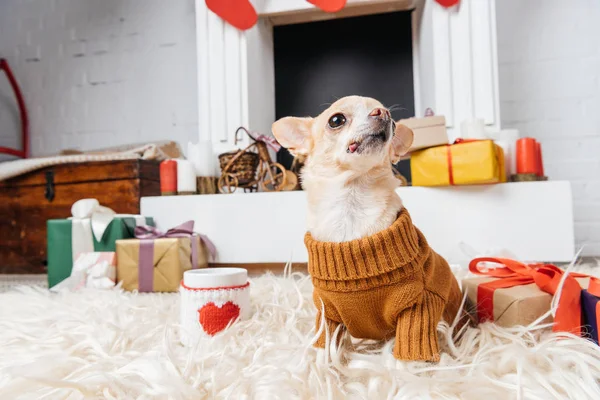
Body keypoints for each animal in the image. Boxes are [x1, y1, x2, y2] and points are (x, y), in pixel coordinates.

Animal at [274, 97, 464, 362]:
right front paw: (322, 365)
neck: (352, 204)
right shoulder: (327, 311)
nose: (383, 113)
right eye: (336, 120)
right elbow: (325, 345)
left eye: (393, 122)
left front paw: (413, 368)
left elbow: (411, 350)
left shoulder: (418, 306)